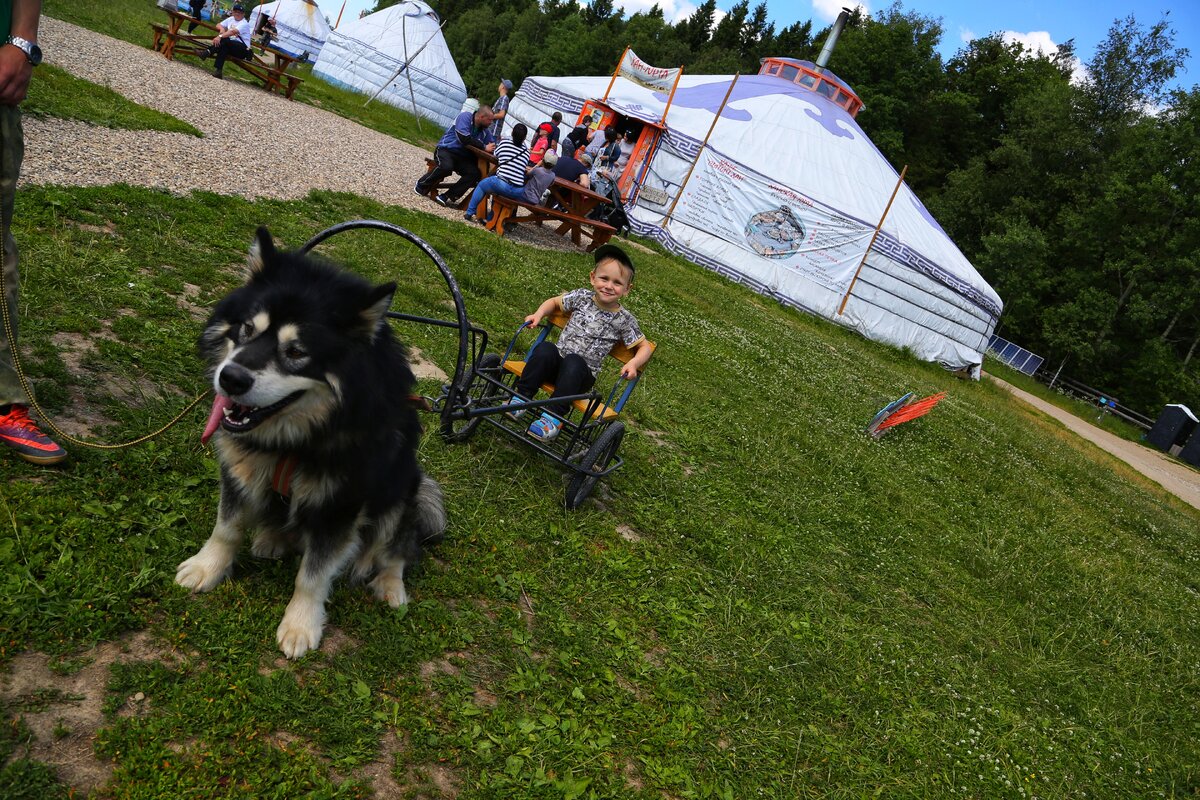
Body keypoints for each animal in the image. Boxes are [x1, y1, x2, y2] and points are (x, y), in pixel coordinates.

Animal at [175, 227, 444, 662]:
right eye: (246, 330)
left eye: (297, 352)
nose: (230, 378)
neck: (295, 441)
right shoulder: (239, 470)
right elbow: (227, 528)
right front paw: (207, 567)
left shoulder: (341, 504)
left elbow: (313, 575)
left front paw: (300, 625)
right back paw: (272, 539)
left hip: (402, 493)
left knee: (396, 550)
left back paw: (390, 586)